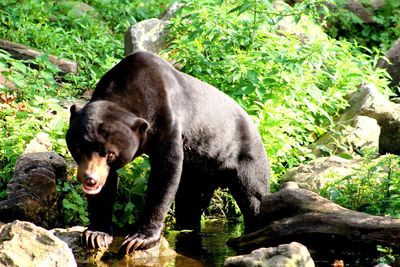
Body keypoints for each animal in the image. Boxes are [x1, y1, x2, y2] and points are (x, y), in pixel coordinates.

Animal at [66, 50, 268, 255]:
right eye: (78, 148)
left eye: (110, 154)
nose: (90, 179)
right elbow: (107, 184)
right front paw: (95, 235)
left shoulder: (167, 122)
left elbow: (166, 171)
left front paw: (139, 239)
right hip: (200, 172)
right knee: (190, 202)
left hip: (247, 157)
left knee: (254, 197)